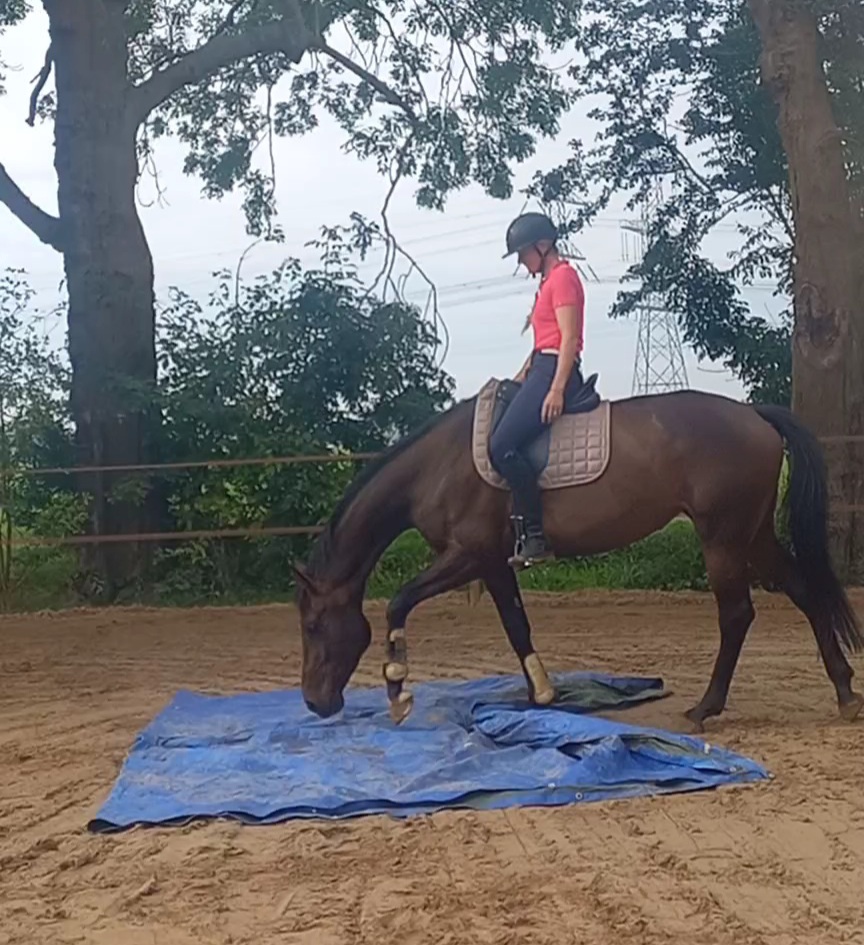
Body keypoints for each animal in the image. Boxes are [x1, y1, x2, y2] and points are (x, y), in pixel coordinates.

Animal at [293, 381, 863, 730]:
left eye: (314, 626)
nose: (314, 703)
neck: (439, 465)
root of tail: (753, 414)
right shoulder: (492, 562)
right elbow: (516, 625)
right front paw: (543, 696)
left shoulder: (466, 556)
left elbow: (398, 602)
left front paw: (397, 691)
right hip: (754, 535)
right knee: (805, 592)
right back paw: (843, 692)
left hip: (722, 538)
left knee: (737, 616)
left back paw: (706, 707)